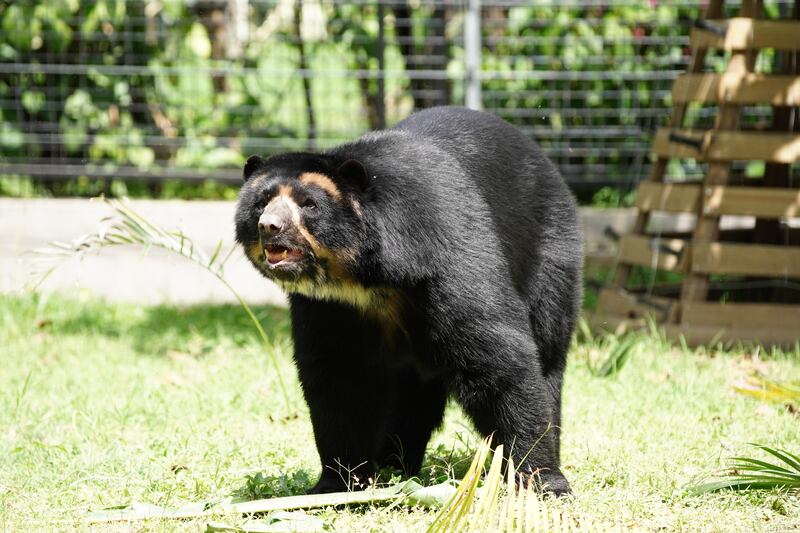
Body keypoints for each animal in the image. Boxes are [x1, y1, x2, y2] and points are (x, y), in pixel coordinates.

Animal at [236, 106, 580, 496]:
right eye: (261, 202)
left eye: (308, 204)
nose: (270, 226)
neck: (369, 279)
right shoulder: (330, 307)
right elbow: (338, 378)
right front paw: (337, 482)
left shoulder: (444, 255)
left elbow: (498, 360)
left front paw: (543, 481)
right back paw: (395, 465)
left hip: (548, 255)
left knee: (548, 353)